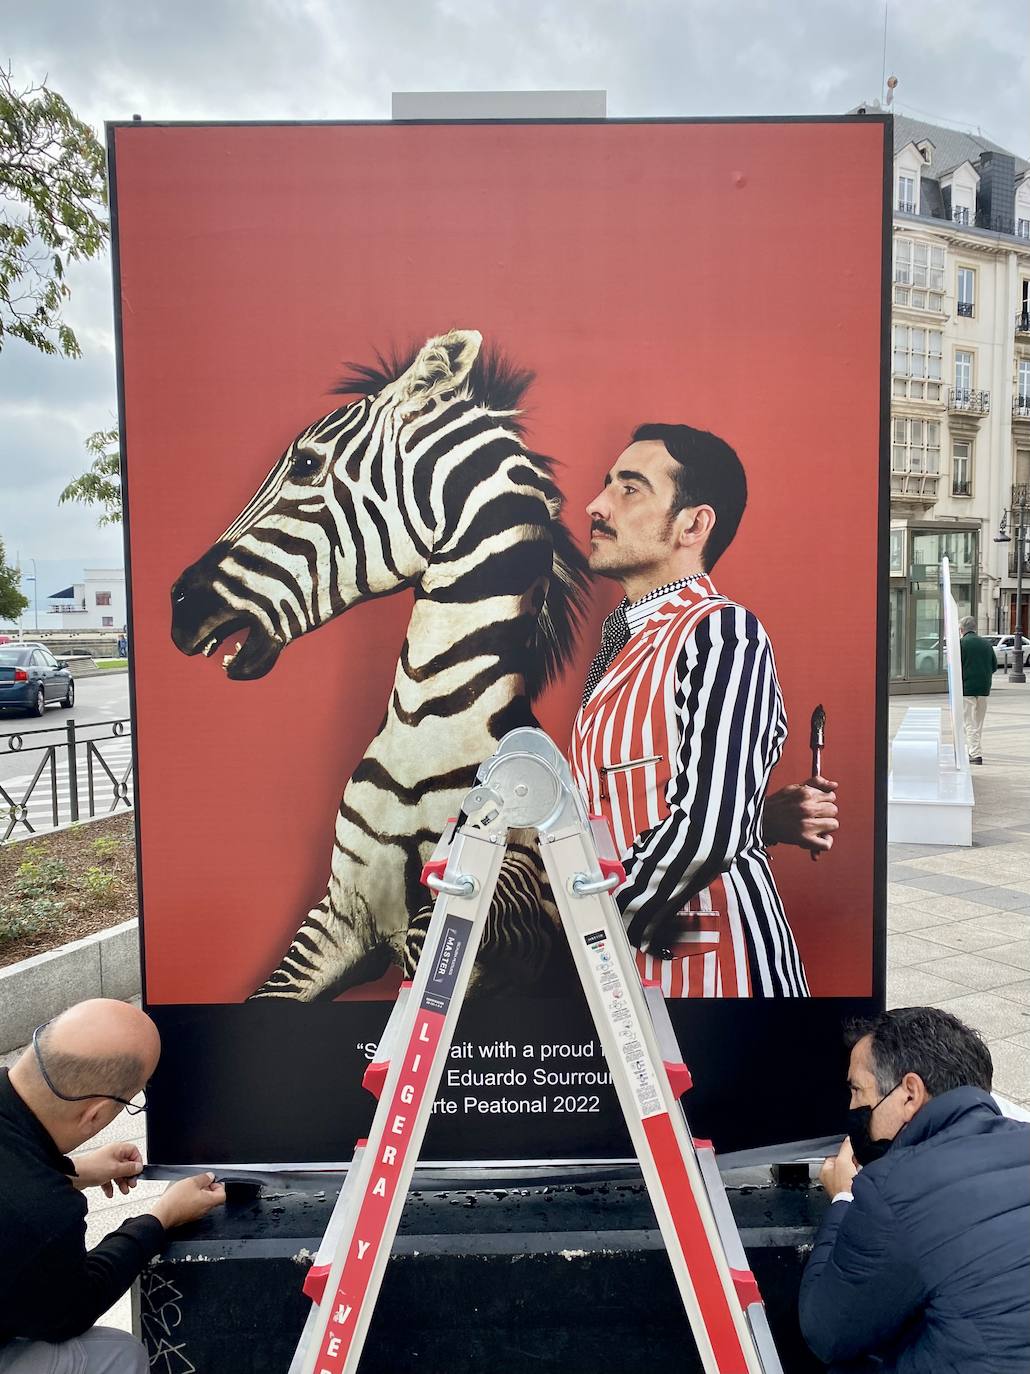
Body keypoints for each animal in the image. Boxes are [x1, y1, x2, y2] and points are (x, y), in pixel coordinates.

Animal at [169, 331, 587, 1000]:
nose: (177, 604)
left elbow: (431, 941)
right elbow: (270, 992)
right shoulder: (340, 908)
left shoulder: (516, 897)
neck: (423, 727)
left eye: (305, 464)